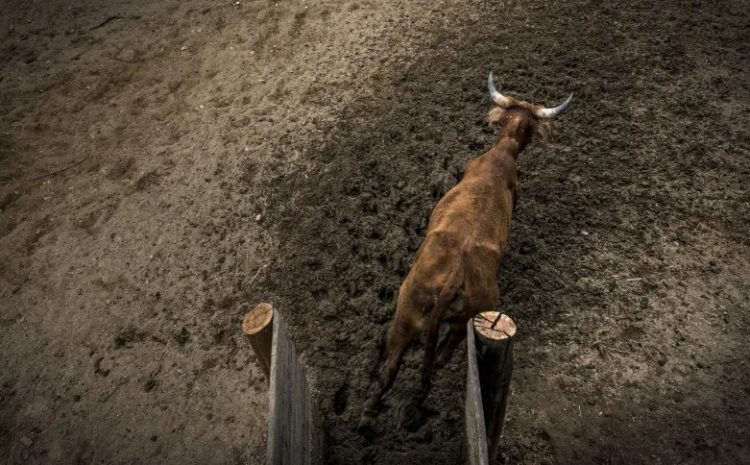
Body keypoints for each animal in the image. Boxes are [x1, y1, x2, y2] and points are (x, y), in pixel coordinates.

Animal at [362, 72, 572, 432]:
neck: (502, 154)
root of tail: (453, 278)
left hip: (408, 315)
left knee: (391, 369)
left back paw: (369, 414)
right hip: (463, 322)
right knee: (439, 359)